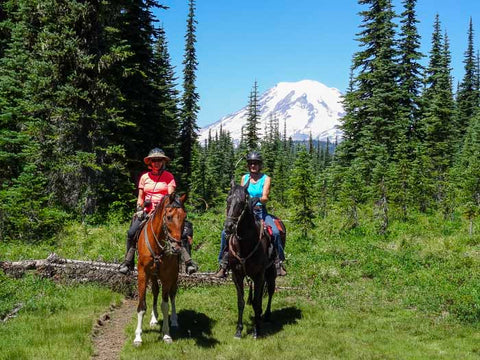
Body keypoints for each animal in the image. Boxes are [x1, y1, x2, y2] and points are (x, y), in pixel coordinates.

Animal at [135, 193, 189, 344]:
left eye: (184, 217)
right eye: (169, 217)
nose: (176, 247)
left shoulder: (167, 276)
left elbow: (165, 306)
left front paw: (166, 334)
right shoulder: (143, 273)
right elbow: (142, 305)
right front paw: (138, 337)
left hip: (174, 276)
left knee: (172, 295)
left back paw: (175, 321)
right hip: (153, 275)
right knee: (155, 291)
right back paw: (154, 318)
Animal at [224, 181, 280, 338]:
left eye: (242, 202)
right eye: (228, 200)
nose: (229, 226)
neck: (244, 243)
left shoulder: (258, 275)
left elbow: (256, 302)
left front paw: (257, 330)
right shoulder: (237, 275)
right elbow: (241, 301)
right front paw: (239, 331)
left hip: (271, 271)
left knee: (271, 291)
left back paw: (266, 315)